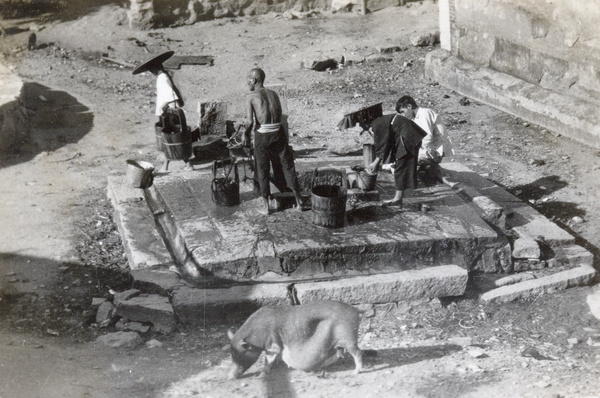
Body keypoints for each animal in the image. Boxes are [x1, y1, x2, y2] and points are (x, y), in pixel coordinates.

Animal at [227, 298, 364, 380]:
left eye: (239, 354)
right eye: (231, 353)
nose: (230, 376)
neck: (257, 332)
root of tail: (355, 310)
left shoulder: (272, 343)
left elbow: (269, 359)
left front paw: (260, 375)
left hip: (349, 338)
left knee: (358, 353)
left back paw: (354, 373)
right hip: (340, 342)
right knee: (339, 354)